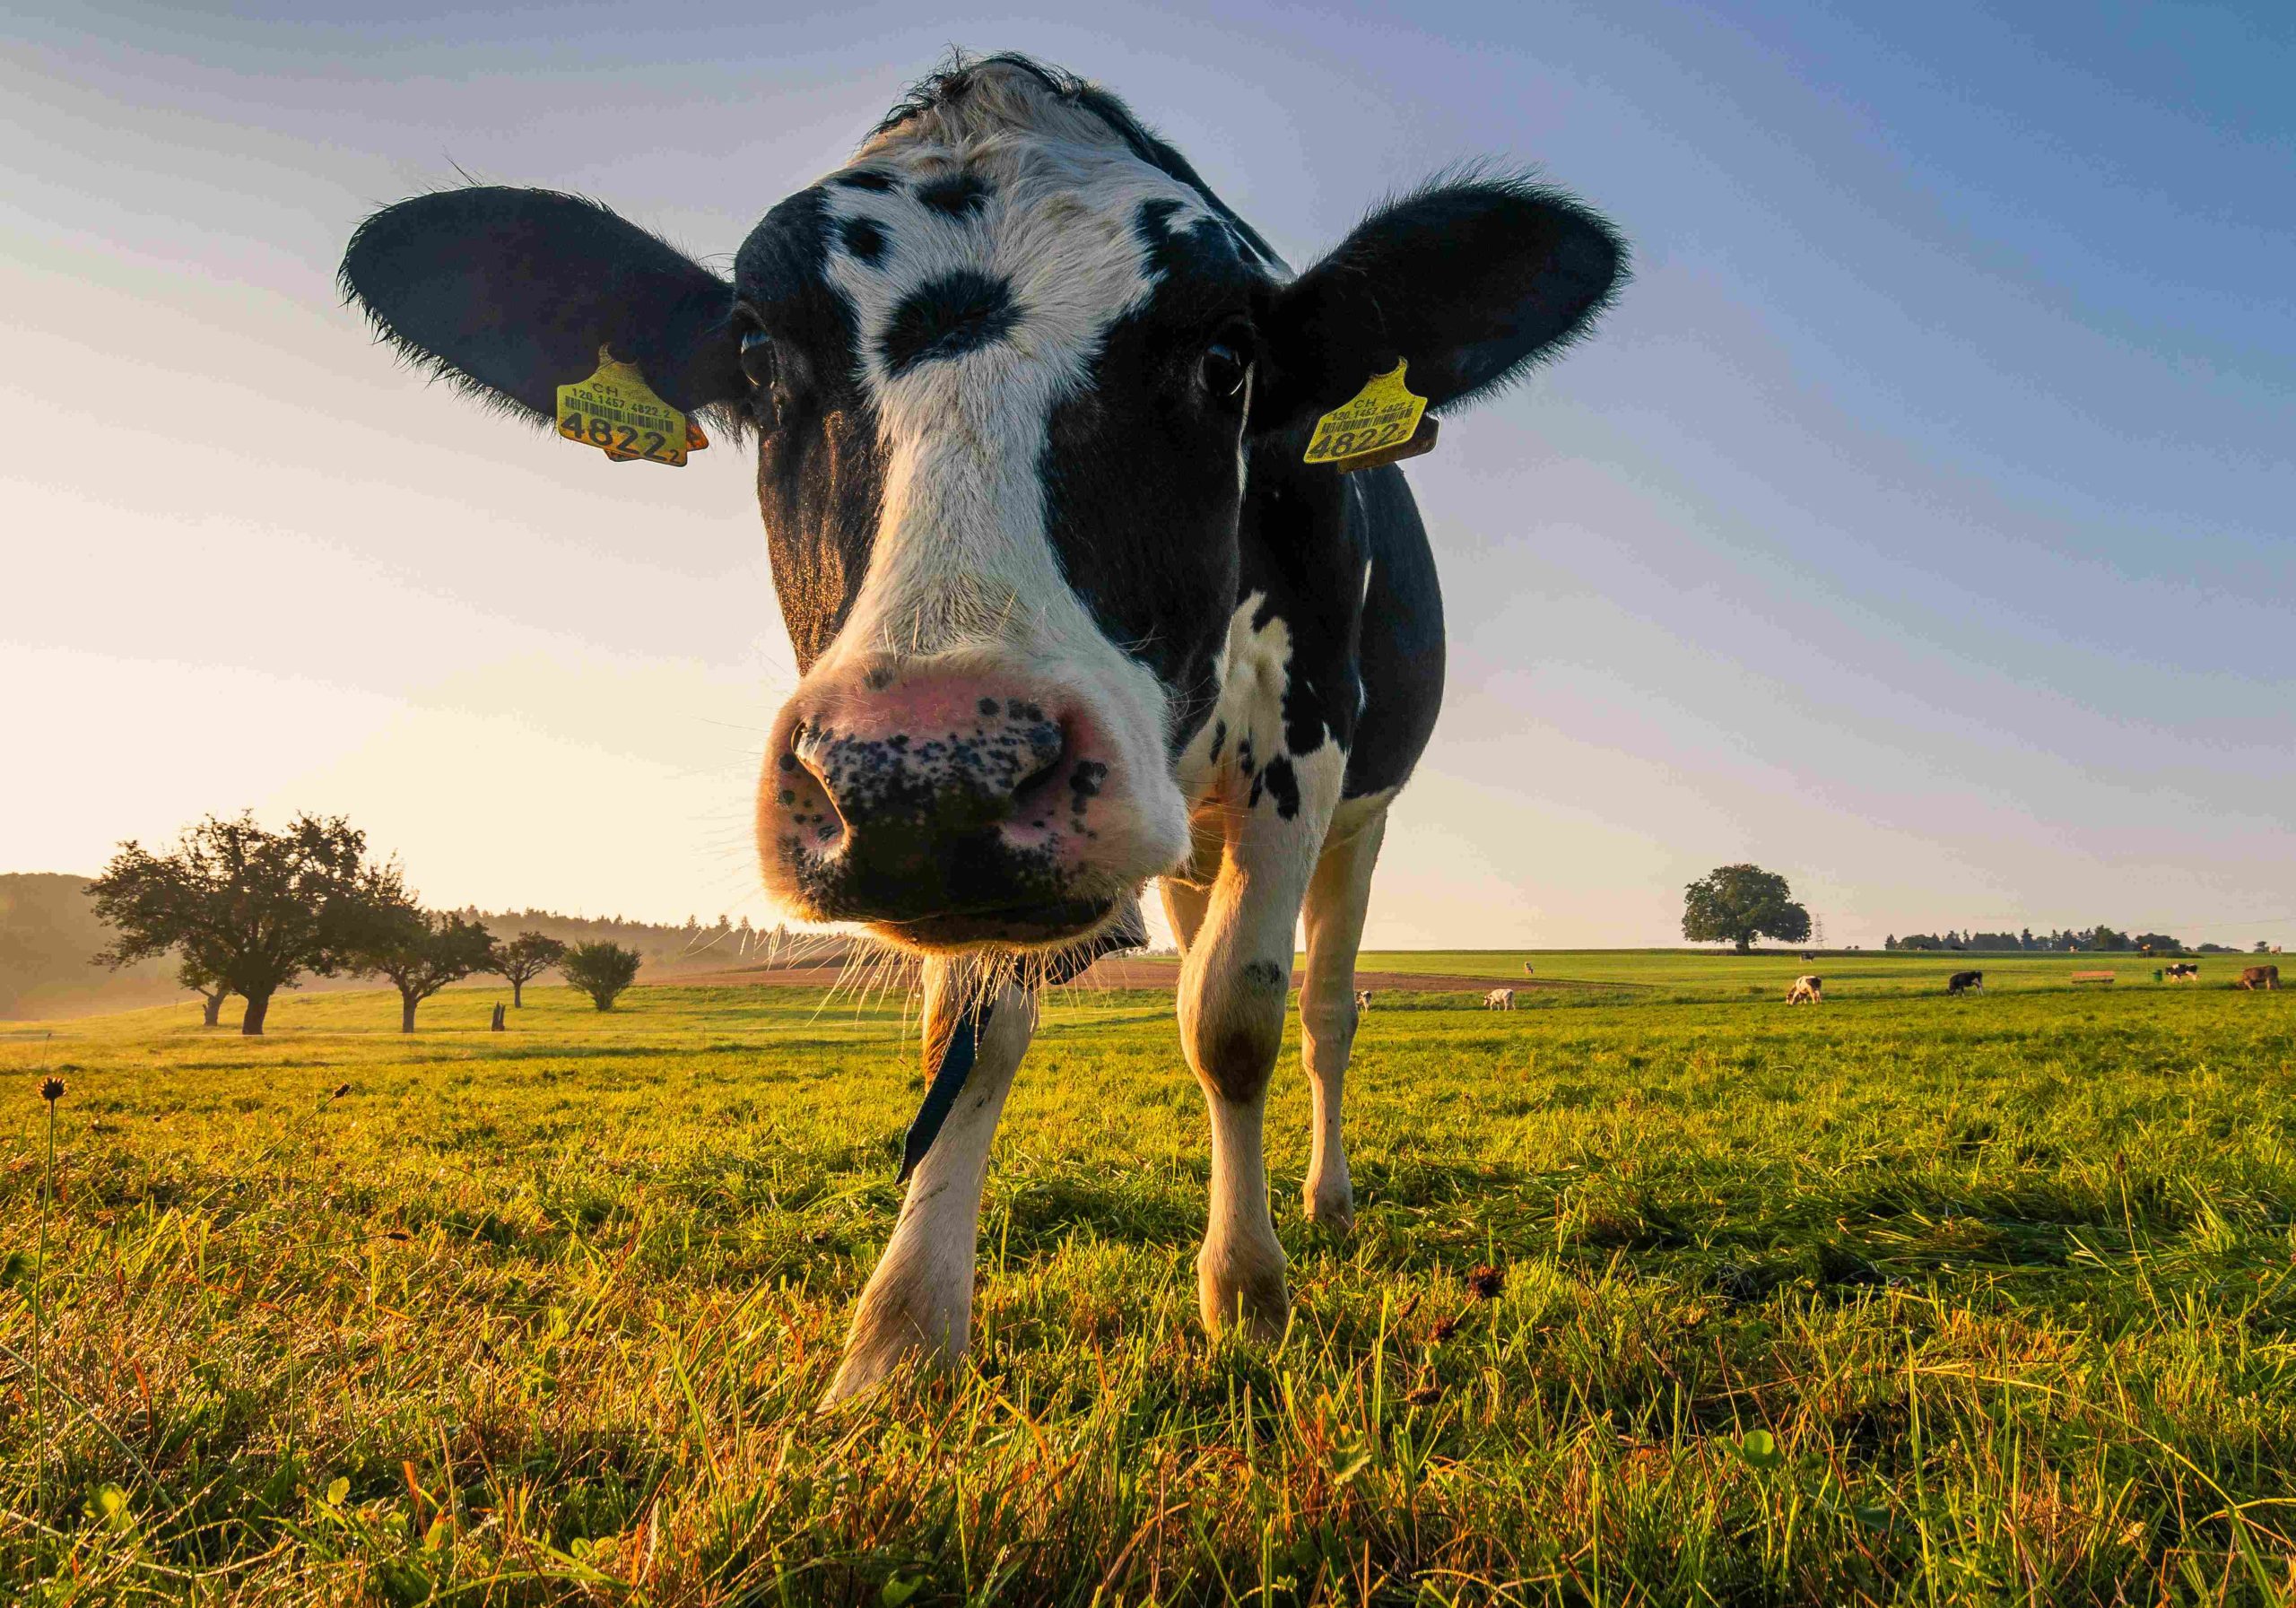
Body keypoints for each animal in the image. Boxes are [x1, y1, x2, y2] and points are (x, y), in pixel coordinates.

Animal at [335, 56, 1634, 1396]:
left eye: (1228, 358)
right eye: (757, 353)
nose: (929, 769)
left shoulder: (1305, 740)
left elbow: (1235, 1017)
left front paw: (1245, 1294)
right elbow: (971, 1033)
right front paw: (903, 1332)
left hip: (1358, 820)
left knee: (1325, 1012)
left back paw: (1322, 1198)